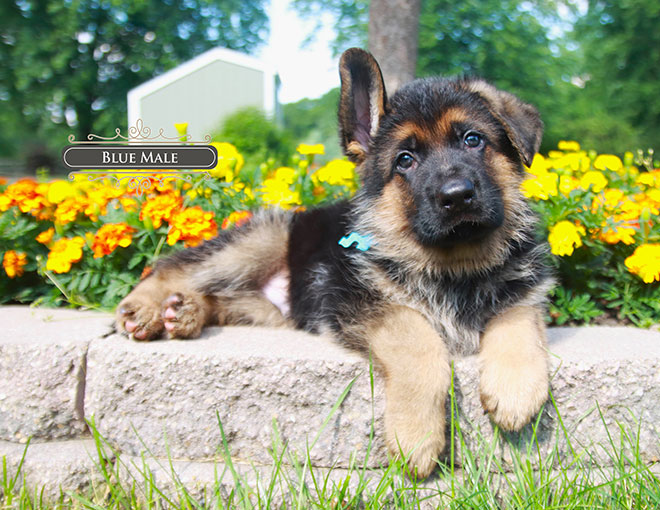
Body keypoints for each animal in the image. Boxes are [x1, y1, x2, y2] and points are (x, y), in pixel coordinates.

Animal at [117, 47, 552, 478]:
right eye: (405, 160)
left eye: (473, 140)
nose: (457, 195)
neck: (455, 266)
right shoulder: (359, 300)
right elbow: (417, 341)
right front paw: (416, 435)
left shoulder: (525, 291)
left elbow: (517, 318)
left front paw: (515, 389)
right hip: (259, 242)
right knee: (175, 267)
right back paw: (145, 309)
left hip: (269, 309)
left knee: (221, 298)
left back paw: (183, 312)